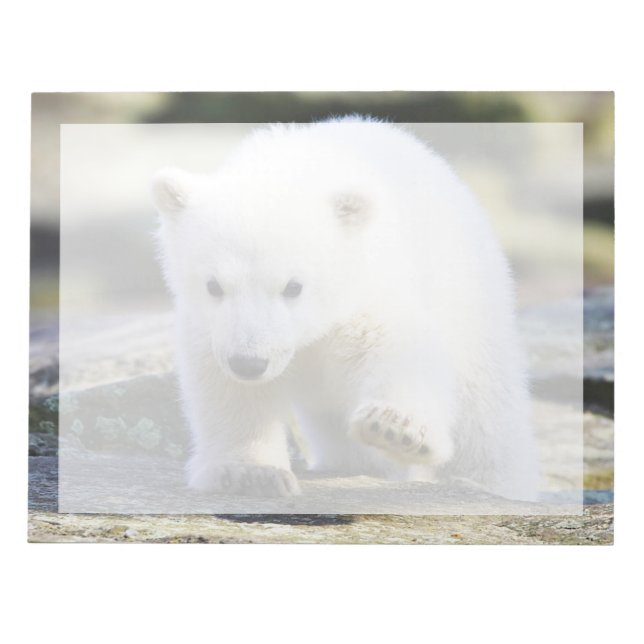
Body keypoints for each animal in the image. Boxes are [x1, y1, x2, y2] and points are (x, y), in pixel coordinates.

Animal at [151, 117, 539, 502]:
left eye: (294, 286)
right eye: (213, 285)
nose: (249, 363)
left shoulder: (367, 287)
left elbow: (397, 346)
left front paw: (395, 428)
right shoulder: (211, 329)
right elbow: (230, 390)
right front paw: (252, 473)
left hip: (471, 299)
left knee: (486, 417)